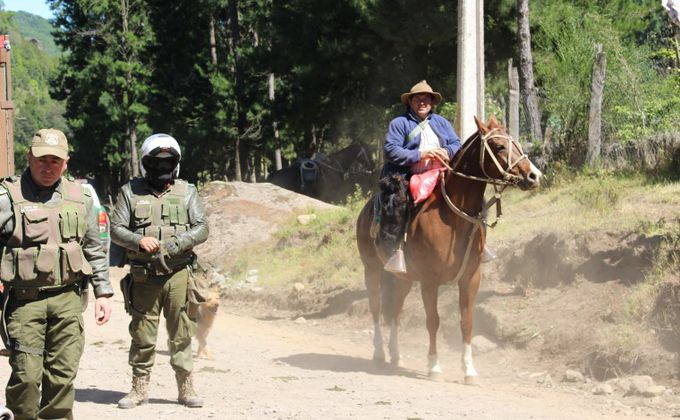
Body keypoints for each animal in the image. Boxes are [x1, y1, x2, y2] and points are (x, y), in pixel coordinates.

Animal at [356, 115, 540, 384]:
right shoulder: (429, 280)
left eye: (514, 142)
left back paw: (395, 354)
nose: (534, 175)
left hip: (403, 279)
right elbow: (433, 321)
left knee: (396, 311)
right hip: (371, 268)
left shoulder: (471, 278)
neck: (452, 218)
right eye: (498, 146)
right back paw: (379, 352)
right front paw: (434, 366)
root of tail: (366, 209)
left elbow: (467, 322)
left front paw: (469, 370)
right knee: (376, 308)